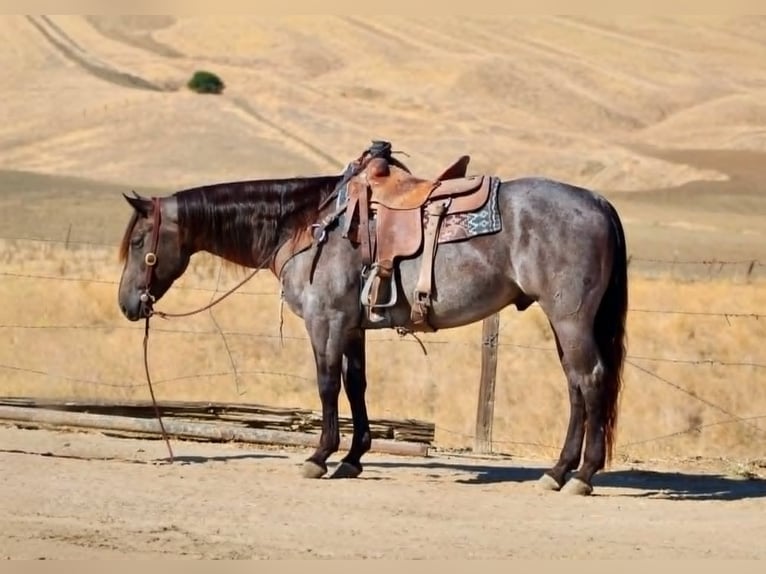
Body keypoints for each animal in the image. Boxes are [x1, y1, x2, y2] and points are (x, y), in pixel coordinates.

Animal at [117, 141, 628, 496]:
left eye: (140, 240)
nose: (127, 305)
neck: (307, 224)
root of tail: (597, 201)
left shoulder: (325, 321)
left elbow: (327, 384)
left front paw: (320, 456)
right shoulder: (352, 326)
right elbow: (356, 385)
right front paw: (353, 457)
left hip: (570, 319)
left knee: (590, 379)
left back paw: (582, 475)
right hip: (564, 323)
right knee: (575, 386)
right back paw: (557, 471)